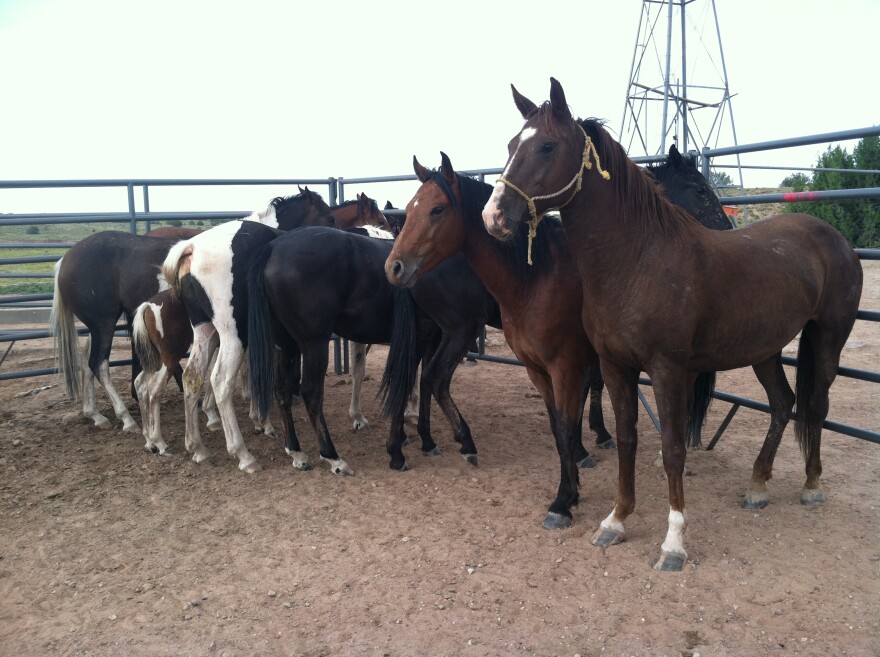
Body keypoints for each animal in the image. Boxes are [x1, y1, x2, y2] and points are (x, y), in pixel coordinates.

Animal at [161, 188, 337, 473]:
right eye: (330, 217)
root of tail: (192, 249)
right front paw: (264, 422)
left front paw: (262, 421)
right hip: (232, 336)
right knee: (220, 381)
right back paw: (243, 455)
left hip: (205, 331)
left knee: (192, 377)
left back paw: (198, 448)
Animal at [385, 150, 731, 530]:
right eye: (700, 189)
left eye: (436, 209)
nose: (395, 267)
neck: (537, 276)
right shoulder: (562, 362)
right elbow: (569, 419)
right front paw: (573, 481)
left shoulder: (574, 360)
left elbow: (573, 413)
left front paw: (582, 461)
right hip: (458, 329)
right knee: (434, 378)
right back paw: (457, 441)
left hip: (434, 331)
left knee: (417, 378)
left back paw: (420, 441)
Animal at [482, 78, 863, 570]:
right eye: (513, 145)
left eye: (547, 146)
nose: (494, 216)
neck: (638, 261)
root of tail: (834, 238)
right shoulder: (615, 367)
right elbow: (627, 439)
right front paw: (616, 521)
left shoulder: (668, 370)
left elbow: (673, 449)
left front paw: (673, 543)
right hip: (765, 349)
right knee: (783, 404)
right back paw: (757, 486)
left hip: (829, 339)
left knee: (815, 405)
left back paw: (812, 485)